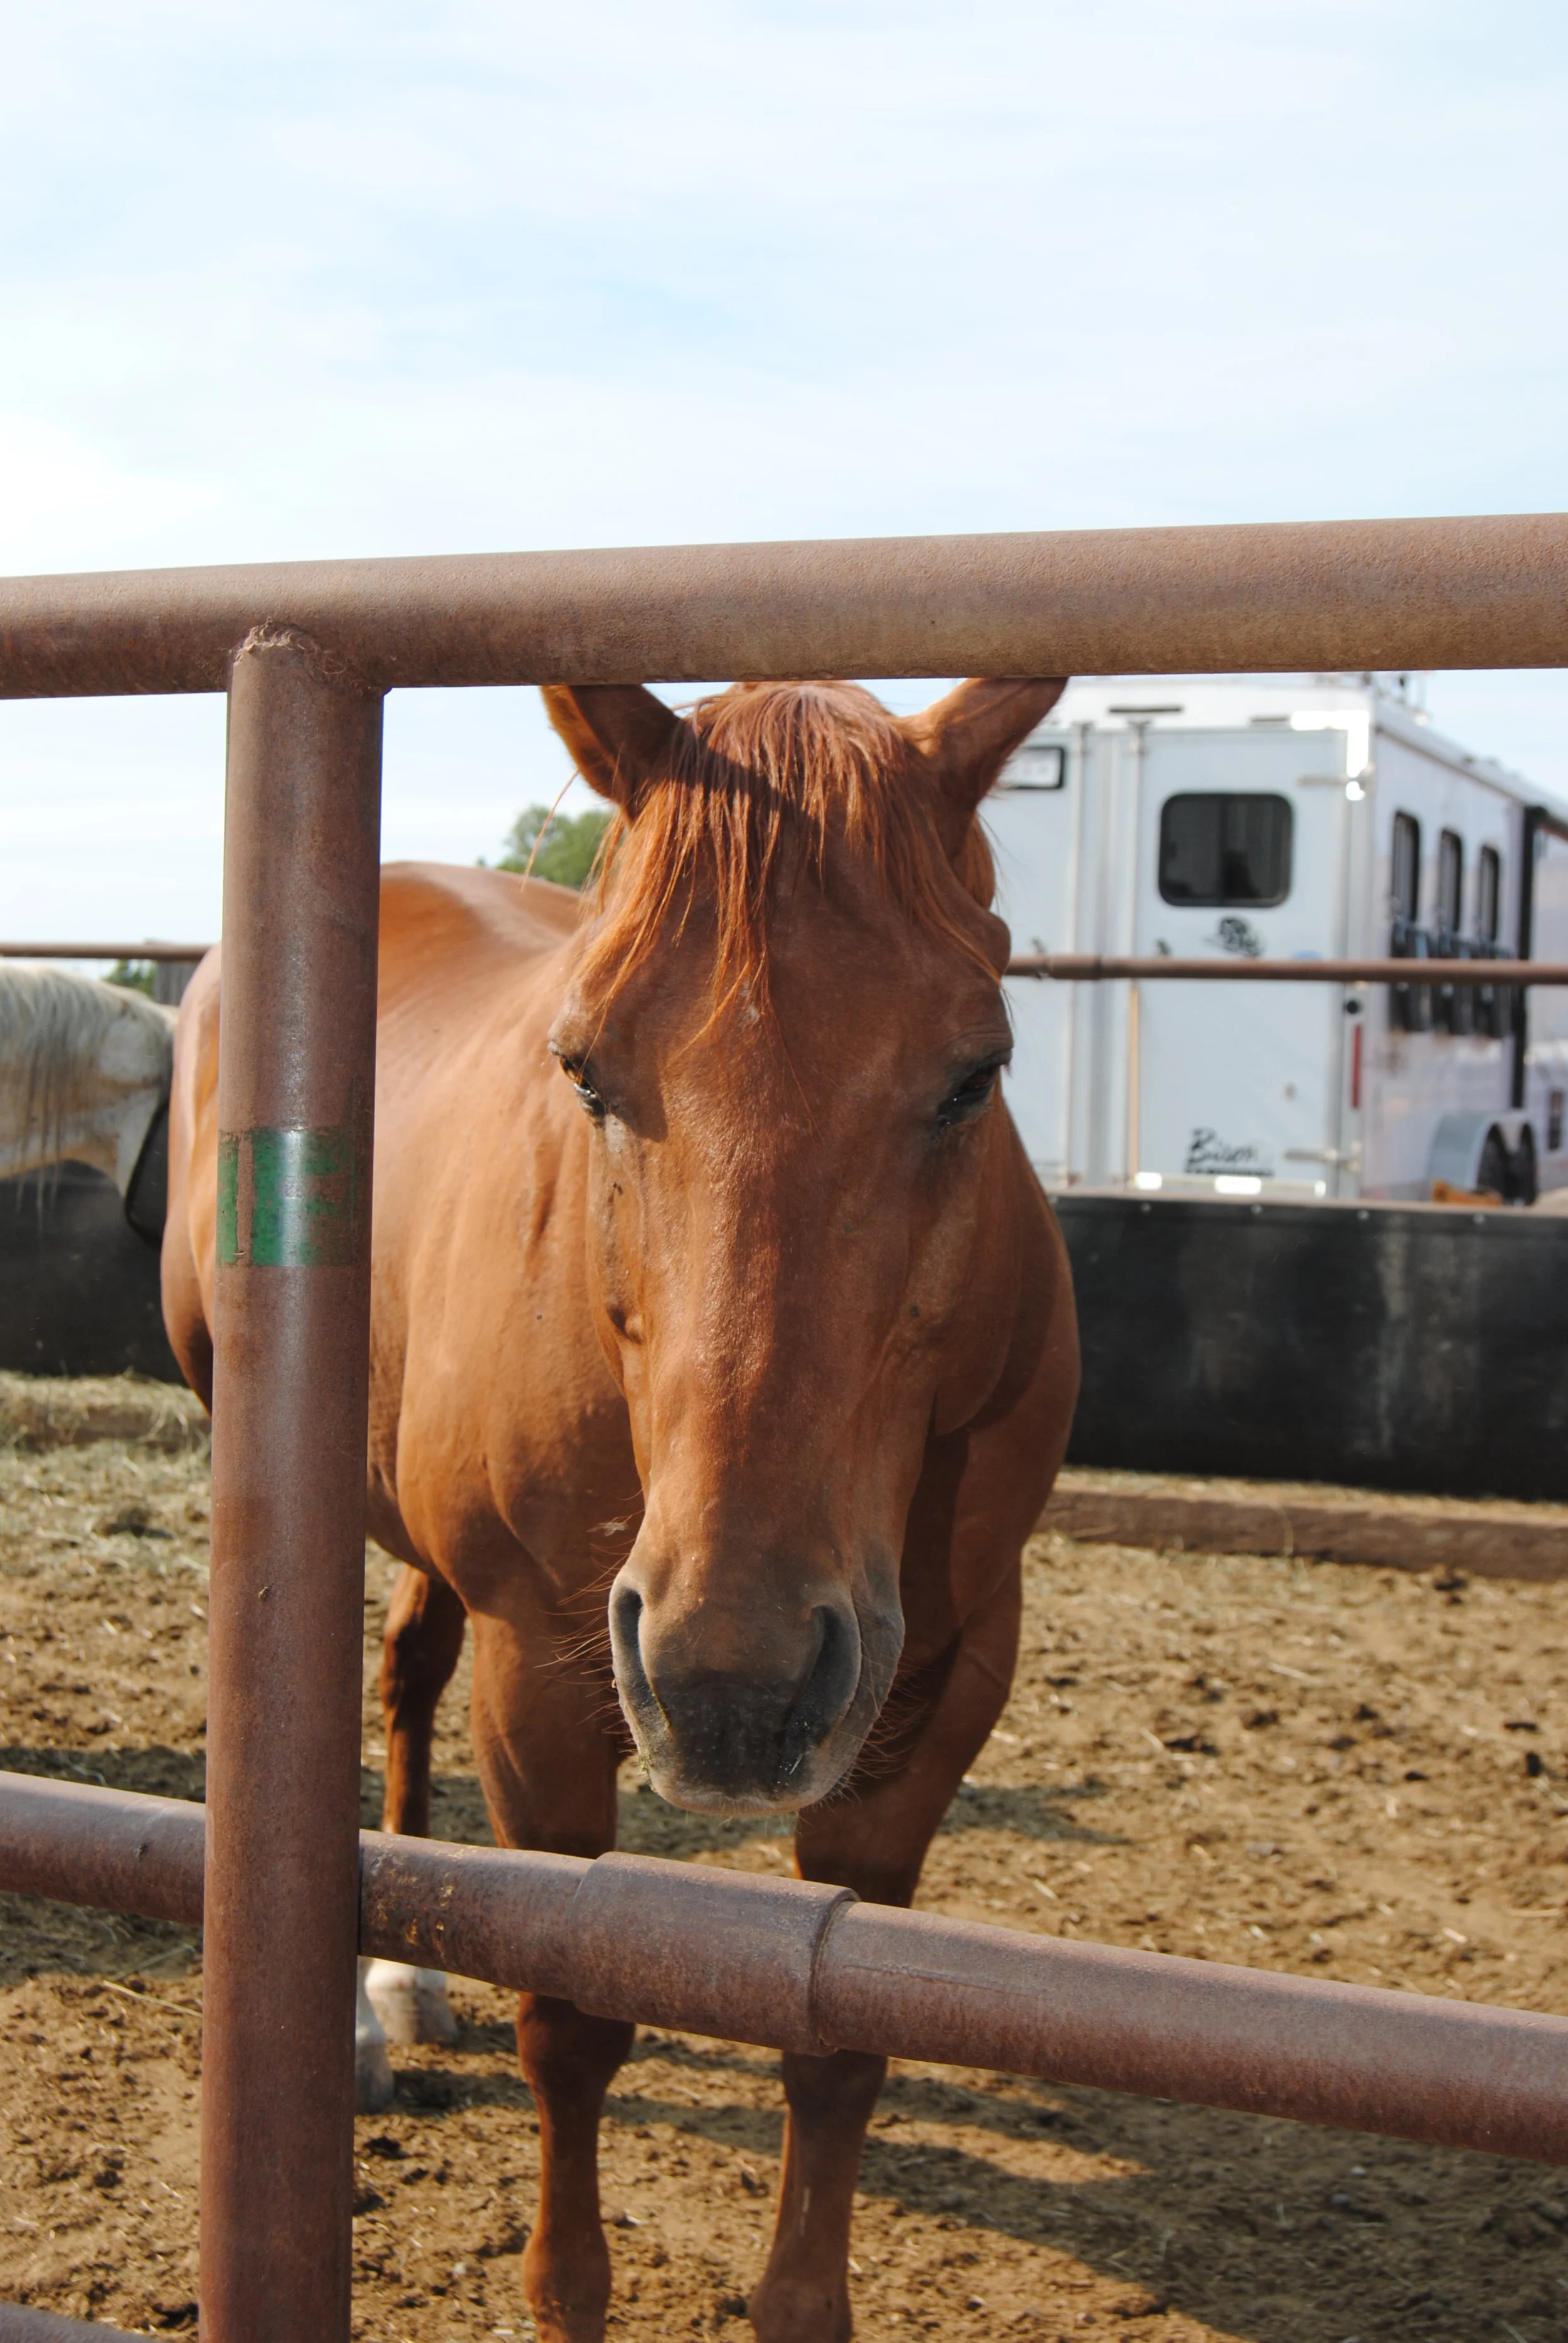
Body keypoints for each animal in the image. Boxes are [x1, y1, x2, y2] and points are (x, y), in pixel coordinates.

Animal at [161, 674, 1081, 2343]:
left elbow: (838, 2028)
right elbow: (575, 2009)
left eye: (973, 1072)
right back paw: (357, 2011)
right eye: (586, 1070)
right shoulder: (545, 1678)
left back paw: (398, 1979)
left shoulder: (941, 1683)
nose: (735, 1680)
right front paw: (565, 2292)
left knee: (405, 1667)